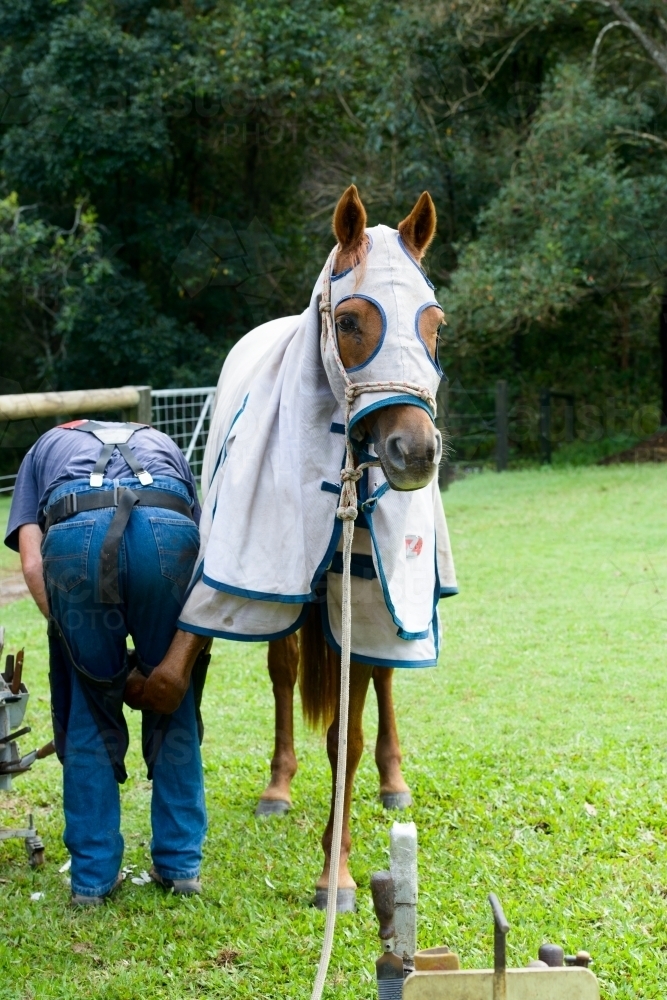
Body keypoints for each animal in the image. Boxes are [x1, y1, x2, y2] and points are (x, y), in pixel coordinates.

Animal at [160, 185, 457, 910]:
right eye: (349, 321)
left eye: (434, 324)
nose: (415, 452)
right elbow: (289, 683)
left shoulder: (366, 597)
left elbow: (347, 735)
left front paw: (335, 873)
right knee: (284, 671)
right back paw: (278, 785)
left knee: (384, 679)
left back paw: (393, 781)